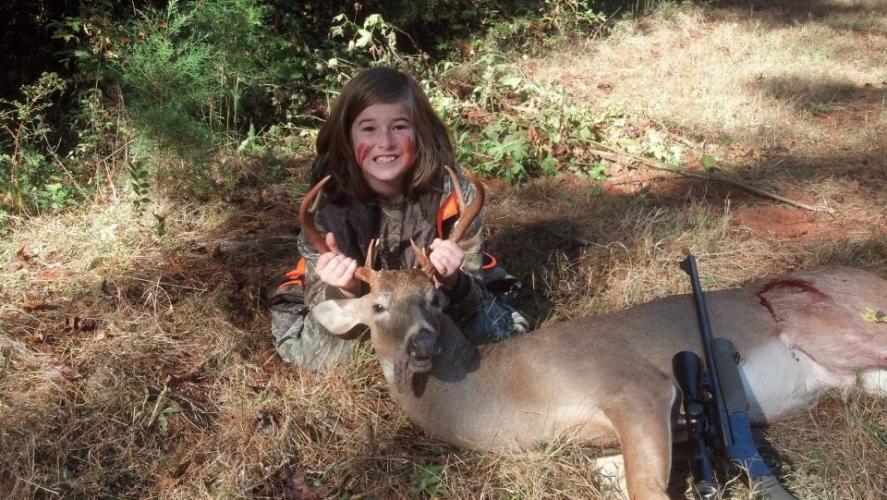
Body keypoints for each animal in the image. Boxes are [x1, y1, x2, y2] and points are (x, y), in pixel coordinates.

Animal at [299, 168, 887, 500]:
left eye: (437, 300)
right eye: (378, 306)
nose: (422, 344)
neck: (507, 393)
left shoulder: (635, 385)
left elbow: (649, 490)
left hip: (838, 327)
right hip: (851, 374)